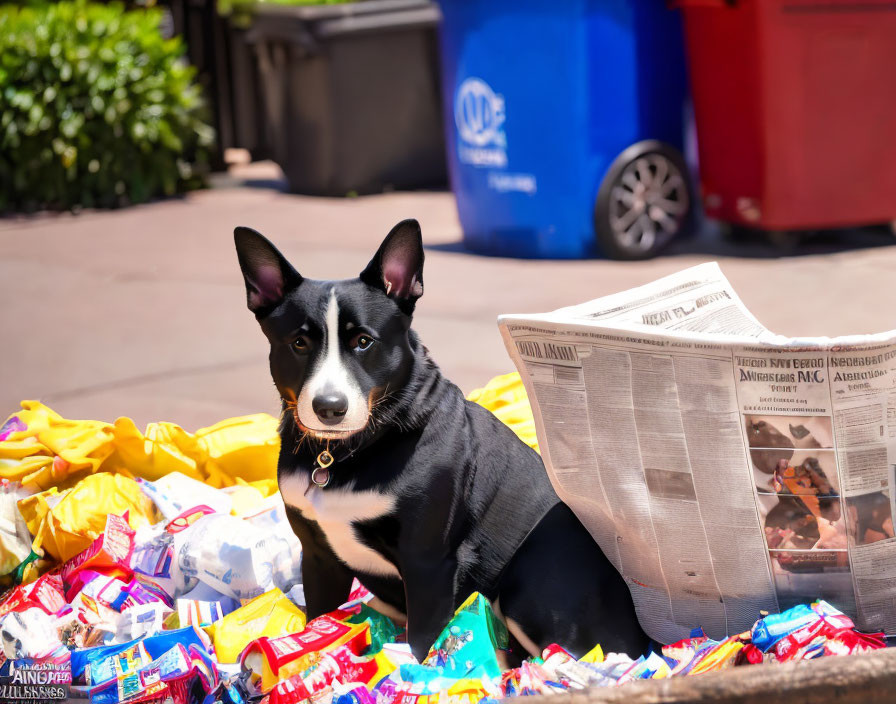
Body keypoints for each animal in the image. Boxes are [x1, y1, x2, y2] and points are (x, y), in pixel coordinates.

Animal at [234, 220, 648, 660]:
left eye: (363, 341)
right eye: (299, 343)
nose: (330, 407)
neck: (351, 451)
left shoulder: (428, 563)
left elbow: (421, 640)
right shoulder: (318, 556)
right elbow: (318, 616)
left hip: (530, 588)